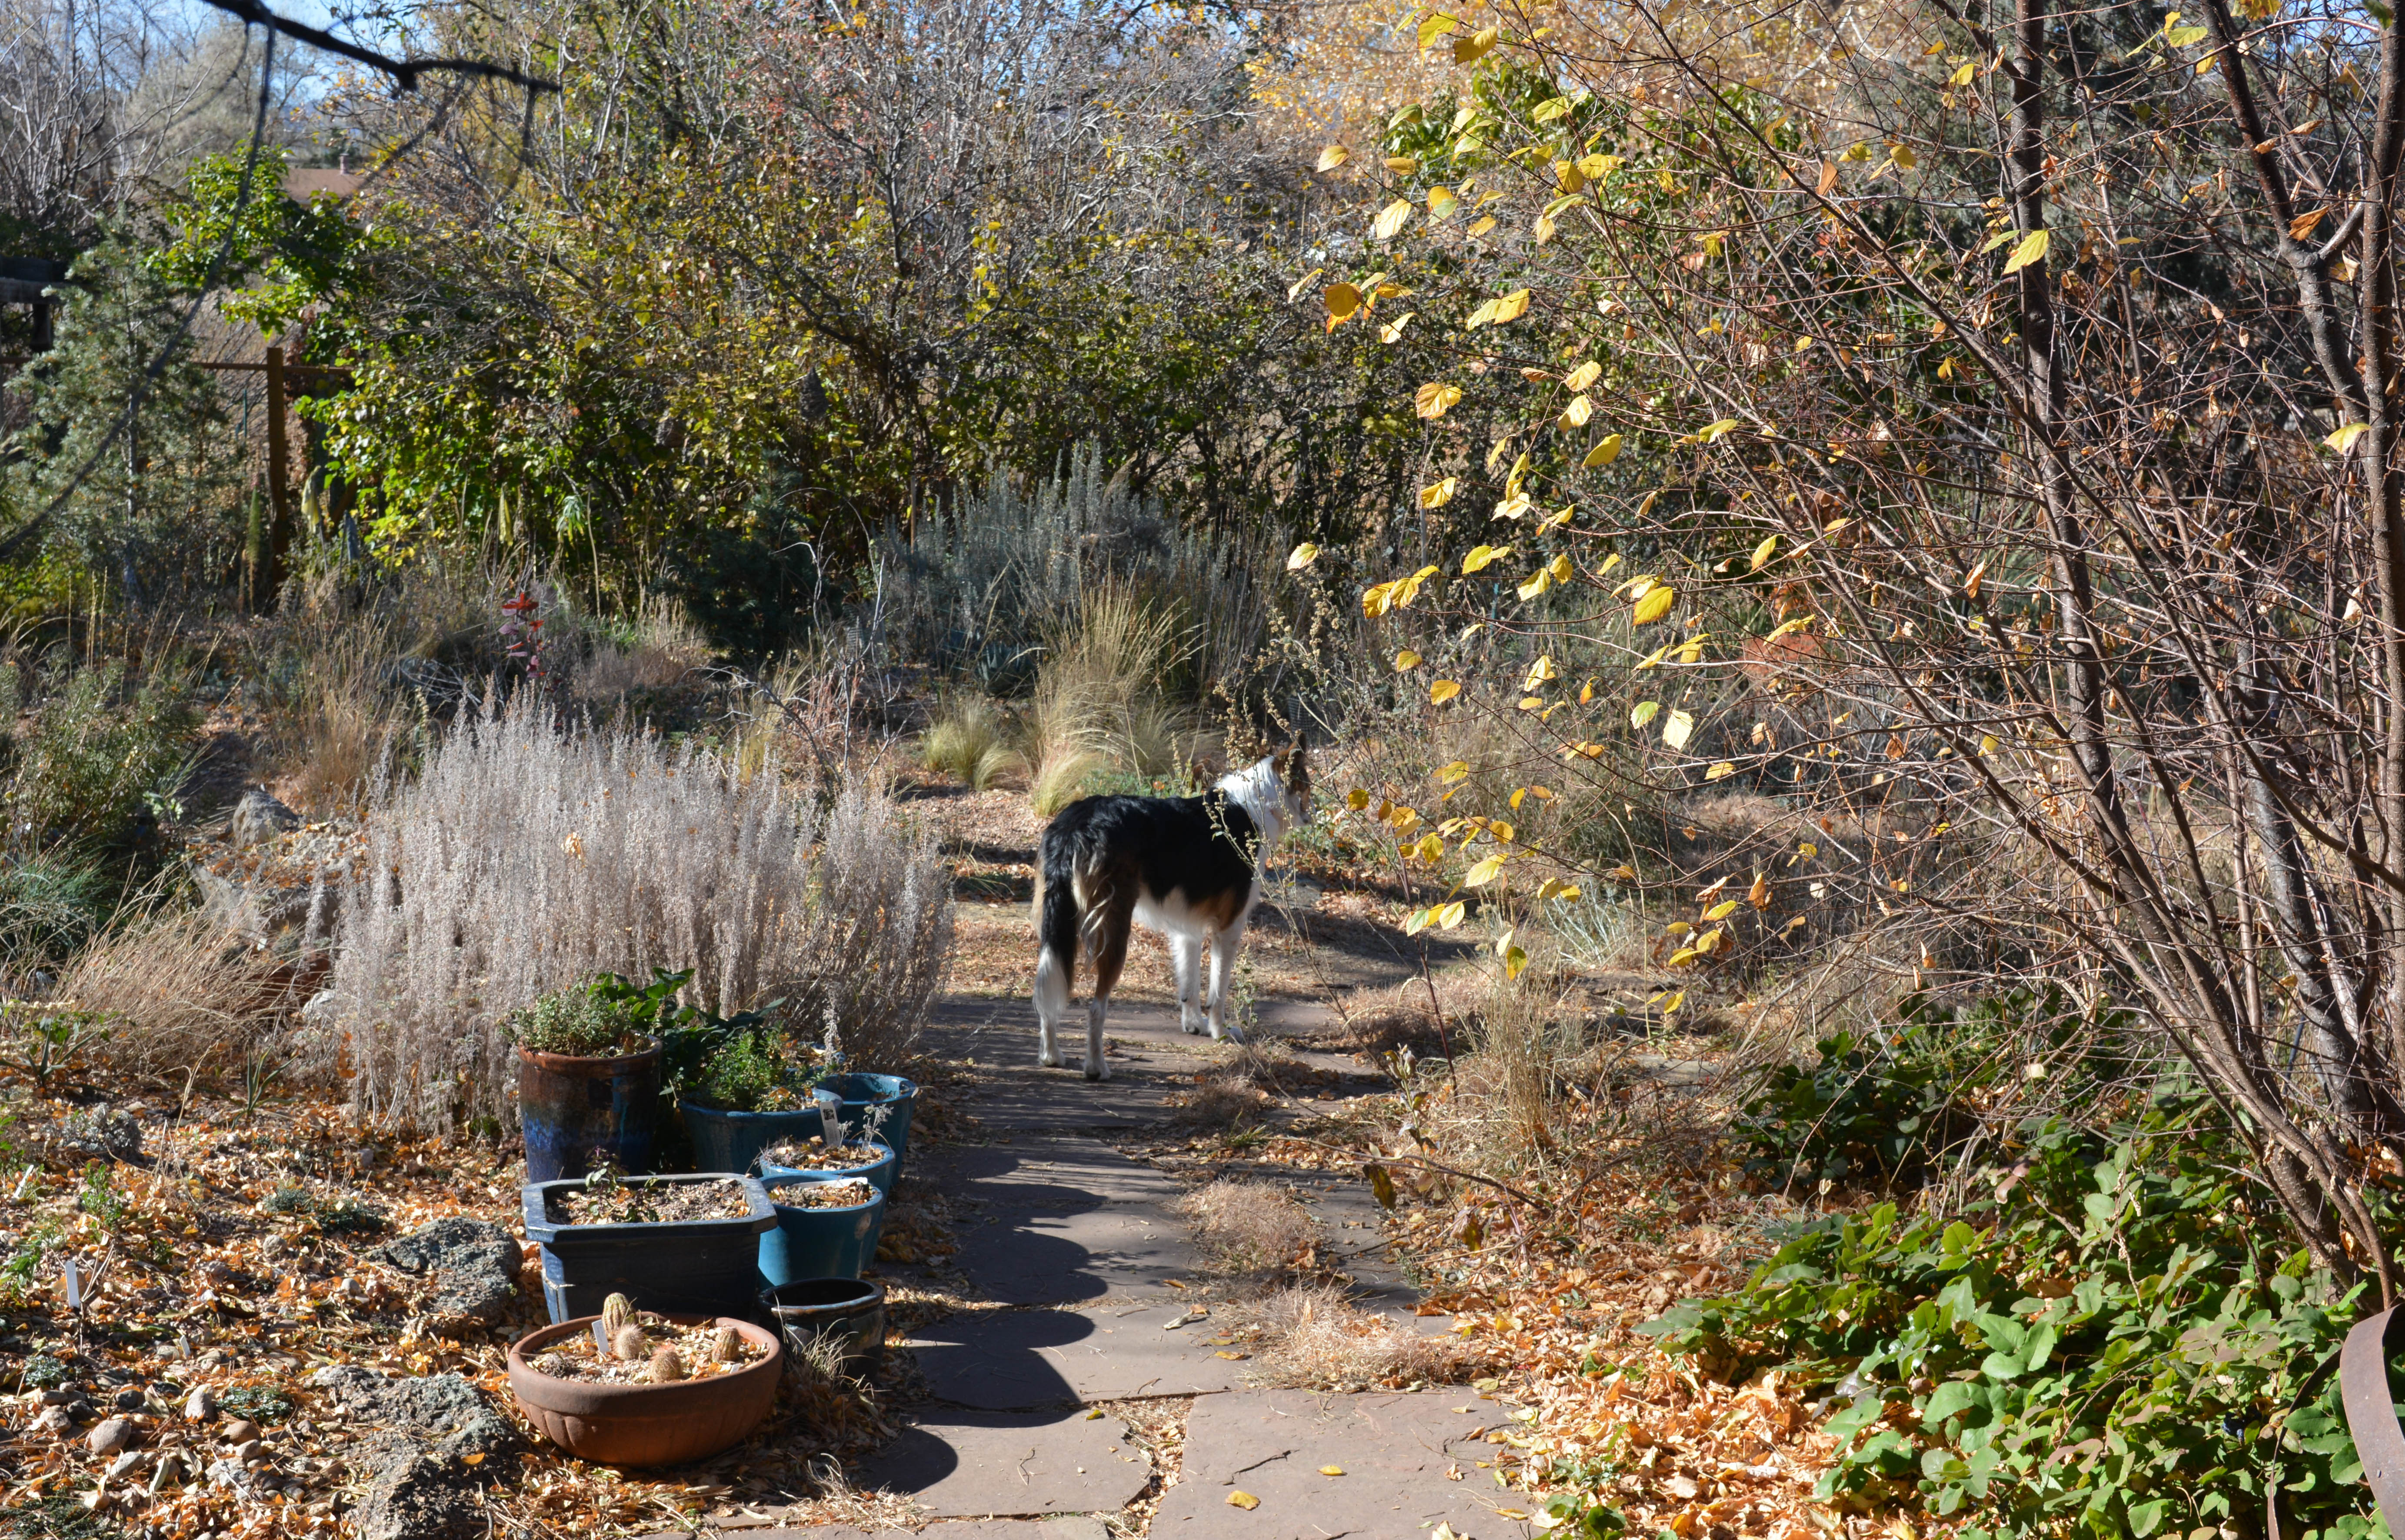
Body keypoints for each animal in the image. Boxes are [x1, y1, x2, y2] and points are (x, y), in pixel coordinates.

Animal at [1033, 745, 1312, 1080]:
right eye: (1308, 783)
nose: (1314, 813)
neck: (1257, 802)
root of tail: (1077, 822)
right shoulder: (1229, 927)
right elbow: (1218, 992)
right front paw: (1220, 1033)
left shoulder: (1186, 928)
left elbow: (1189, 985)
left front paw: (1195, 1026)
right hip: (1114, 929)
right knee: (1095, 1008)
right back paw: (1096, 1067)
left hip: (1057, 927)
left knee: (1047, 992)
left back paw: (1051, 1056)